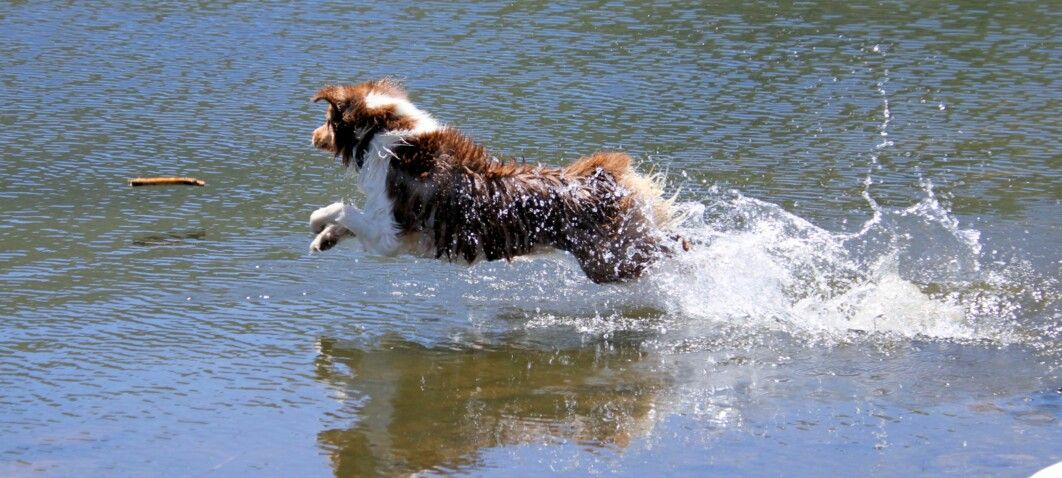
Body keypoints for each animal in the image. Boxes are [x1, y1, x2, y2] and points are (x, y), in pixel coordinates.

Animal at [307, 76, 688, 282]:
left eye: (326, 120)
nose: (312, 136)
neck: (384, 134)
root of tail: (609, 178)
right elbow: (347, 222)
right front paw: (325, 239)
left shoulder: (390, 233)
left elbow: (341, 210)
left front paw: (317, 223)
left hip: (612, 261)